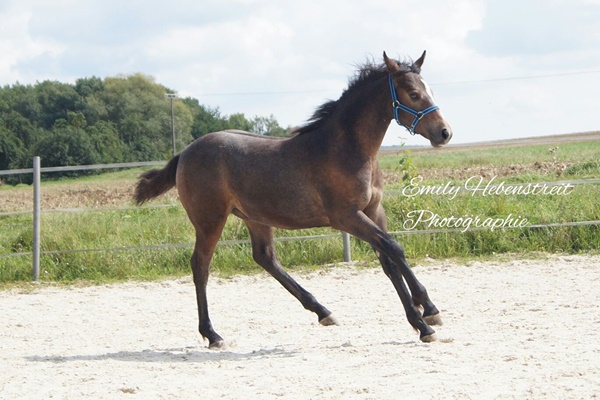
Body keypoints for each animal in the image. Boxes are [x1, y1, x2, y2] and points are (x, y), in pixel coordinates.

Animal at [134, 51, 453, 348]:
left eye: (430, 90)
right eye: (413, 94)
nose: (445, 133)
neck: (345, 149)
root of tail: (185, 152)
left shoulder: (374, 211)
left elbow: (389, 258)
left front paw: (425, 312)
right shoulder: (346, 217)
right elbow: (394, 248)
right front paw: (425, 319)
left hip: (255, 218)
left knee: (265, 257)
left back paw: (323, 311)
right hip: (209, 220)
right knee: (201, 266)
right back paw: (212, 334)